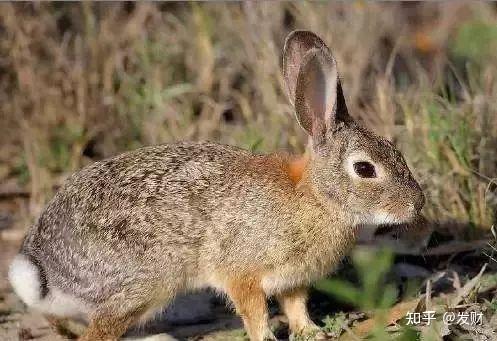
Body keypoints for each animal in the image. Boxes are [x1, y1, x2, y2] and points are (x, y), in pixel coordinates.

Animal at [7, 29, 422, 340]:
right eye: (365, 169)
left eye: (396, 152)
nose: (416, 204)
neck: (316, 198)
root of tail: (45, 268)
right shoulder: (242, 273)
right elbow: (254, 311)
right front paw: (266, 338)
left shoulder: (293, 281)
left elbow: (296, 306)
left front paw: (311, 332)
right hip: (140, 285)